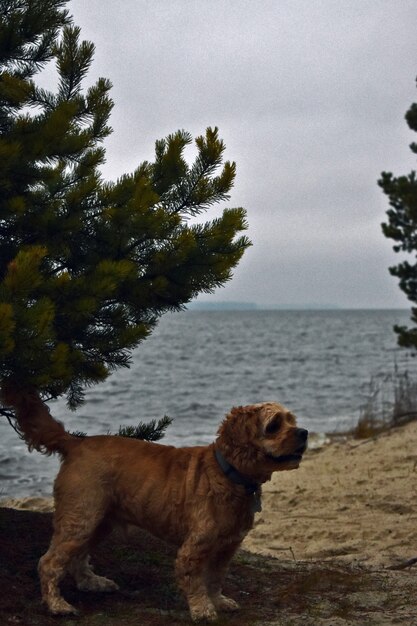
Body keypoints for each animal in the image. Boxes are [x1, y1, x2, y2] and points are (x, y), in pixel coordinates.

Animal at [1, 386, 308, 620]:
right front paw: (203, 609)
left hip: (99, 521)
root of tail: (76, 443)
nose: (304, 432)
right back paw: (57, 605)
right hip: (81, 517)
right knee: (49, 562)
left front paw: (219, 601)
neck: (227, 472)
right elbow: (195, 579)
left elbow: (216, 577)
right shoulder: (194, 548)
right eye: (274, 425)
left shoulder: (227, 546)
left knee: (77, 557)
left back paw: (92, 582)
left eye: (292, 420)